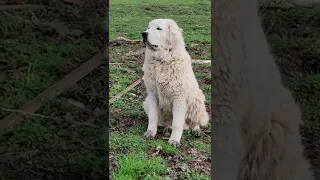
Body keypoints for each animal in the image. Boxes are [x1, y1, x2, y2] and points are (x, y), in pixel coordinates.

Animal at [141, 18, 209, 148]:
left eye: (158, 28)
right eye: (148, 28)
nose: (143, 34)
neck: (162, 61)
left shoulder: (179, 98)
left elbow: (177, 123)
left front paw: (174, 141)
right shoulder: (152, 96)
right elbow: (153, 118)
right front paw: (150, 133)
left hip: (197, 99)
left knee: (193, 122)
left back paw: (196, 130)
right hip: (146, 102)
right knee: (173, 123)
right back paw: (168, 128)